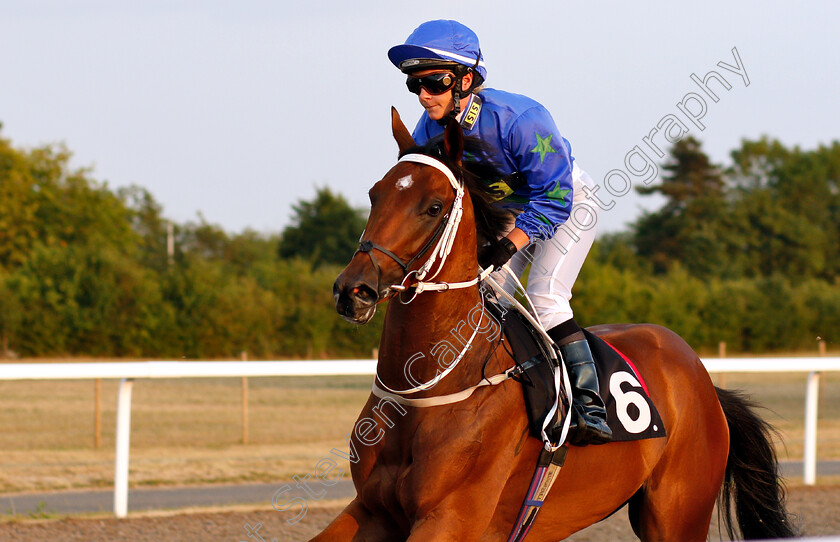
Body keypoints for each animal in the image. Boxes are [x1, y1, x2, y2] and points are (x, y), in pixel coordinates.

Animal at [320, 108, 796, 540]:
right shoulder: (372, 509)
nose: (353, 290)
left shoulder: (449, 518)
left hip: (678, 515)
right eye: (375, 195)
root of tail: (705, 382)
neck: (425, 391)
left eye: (433, 207)